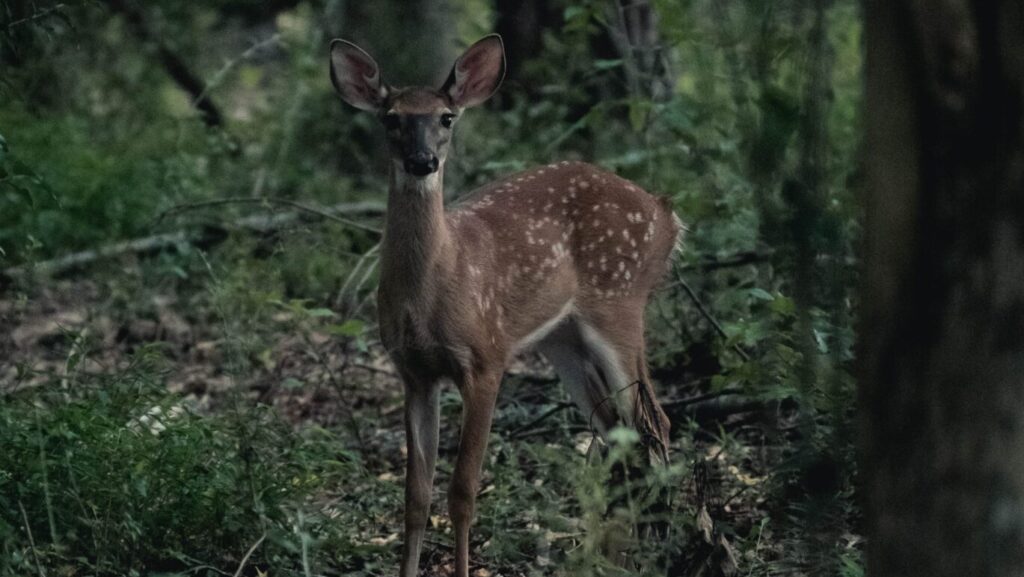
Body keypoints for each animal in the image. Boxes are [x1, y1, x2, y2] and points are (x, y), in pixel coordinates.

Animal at [327, 35, 679, 577]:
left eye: (447, 117)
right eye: (392, 118)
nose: (423, 161)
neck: (434, 287)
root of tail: (667, 213)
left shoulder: (486, 357)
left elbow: (462, 491)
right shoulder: (414, 372)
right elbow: (416, 496)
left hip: (621, 301)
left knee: (655, 422)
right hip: (563, 340)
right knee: (618, 430)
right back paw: (621, 553)